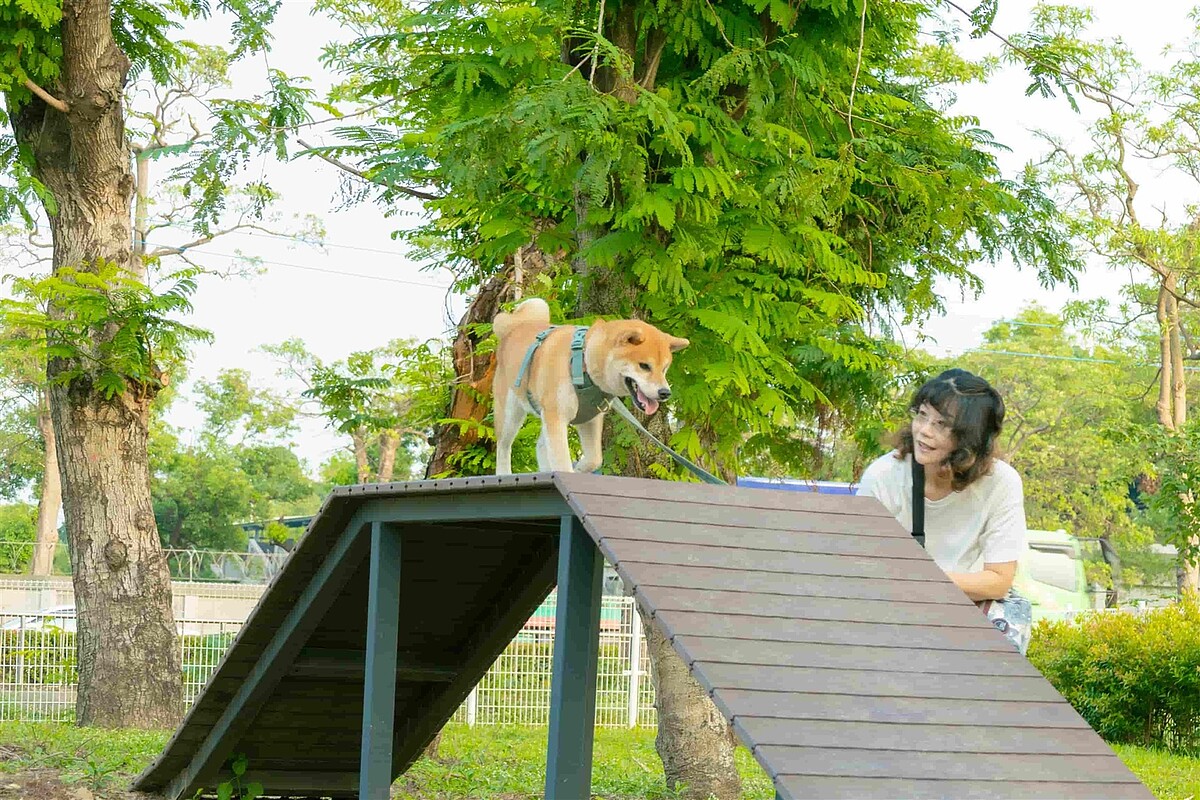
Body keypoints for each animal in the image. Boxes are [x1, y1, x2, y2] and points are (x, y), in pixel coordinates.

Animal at [492, 298, 691, 474]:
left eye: (665, 369)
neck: (583, 362)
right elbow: (563, 461)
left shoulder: (589, 419)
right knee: (503, 447)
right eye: (644, 366)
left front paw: (578, 469)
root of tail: (513, 327)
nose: (665, 392)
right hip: (511, 415)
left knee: (541, 445)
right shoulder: (556, 416)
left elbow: (594, 459)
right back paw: (504, 473)